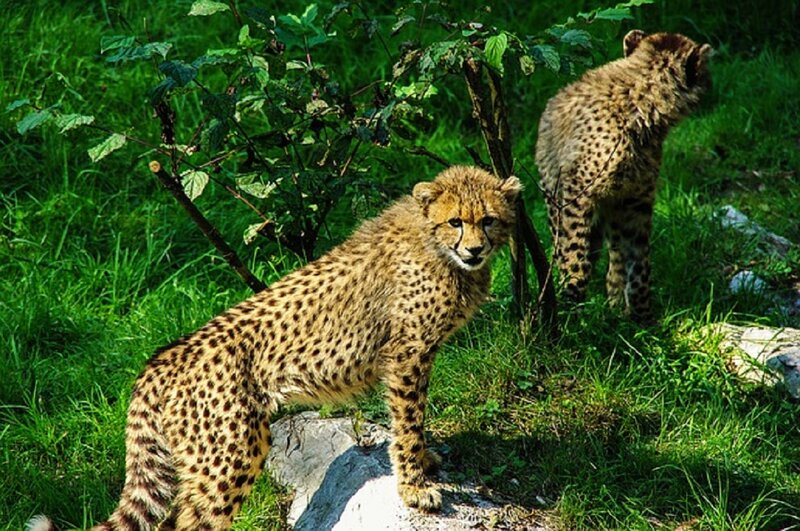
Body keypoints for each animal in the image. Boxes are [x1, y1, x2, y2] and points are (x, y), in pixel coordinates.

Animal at [28, 166, 521, 531]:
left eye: (488, 220)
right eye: (456, 221)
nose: (475, 250)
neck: (437, 246)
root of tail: (164, 355)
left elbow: (414, 421)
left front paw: (426, 460)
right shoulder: (407, 354)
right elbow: (409, 420)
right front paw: (415, 486)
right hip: (231, 453)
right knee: (193, 522)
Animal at [536, 30, 712, 321]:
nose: (710, 84)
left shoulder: (635, 201)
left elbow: (639, 262)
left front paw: (642, 317)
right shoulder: (577, 195)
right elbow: (574, 253)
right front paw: (571, 304)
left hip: (613, 209)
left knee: (615, 255)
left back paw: (617, 307)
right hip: (556, 199)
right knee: (566, 247)